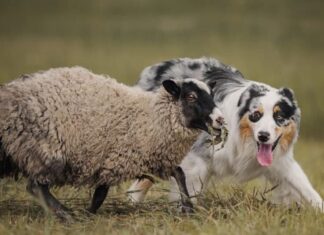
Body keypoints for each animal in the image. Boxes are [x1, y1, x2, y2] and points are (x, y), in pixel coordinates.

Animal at [0, 66, 223, 220]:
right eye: (191, 96)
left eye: (212, 95)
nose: (220, 119)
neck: (151, 117)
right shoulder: (120, 158)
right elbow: (101, 193)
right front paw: (87, 215)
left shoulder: (144, 158)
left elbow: (179, 173)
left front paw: (188, 208)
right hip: (43, 151)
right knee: (36, 187)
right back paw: (66, 215)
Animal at [128, 57, 322, 211]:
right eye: (255, 115)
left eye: (279, 117)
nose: (263, 136)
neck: (244, 140)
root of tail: (153, 69)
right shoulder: (196, 161)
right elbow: (189, 190)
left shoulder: (281, 164)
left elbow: (305, 188)